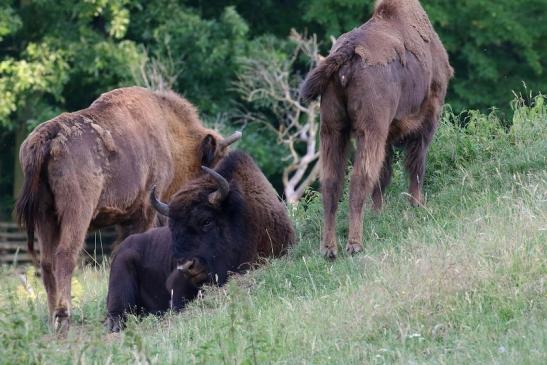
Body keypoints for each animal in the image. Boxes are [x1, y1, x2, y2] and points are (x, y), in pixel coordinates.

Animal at [15, 86, 241, 332]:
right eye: (214, 162)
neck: (168, 134)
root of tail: (48, 136)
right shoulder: (146, 210)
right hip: (77, 212)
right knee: (65, 255)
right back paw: (64, 317)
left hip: (45, 216)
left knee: (46, 263)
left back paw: (51, 319)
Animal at [300, 0, 454, 258]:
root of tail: (348, 52)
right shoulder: (426, 119)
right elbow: (415, 164)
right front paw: (417, 203)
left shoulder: (387, 136)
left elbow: (384, 173)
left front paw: (378, 212)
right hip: (369, 129)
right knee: (359, 180)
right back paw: (355, 244)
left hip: (332, 129)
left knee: (332, 183)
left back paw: (329, 248)